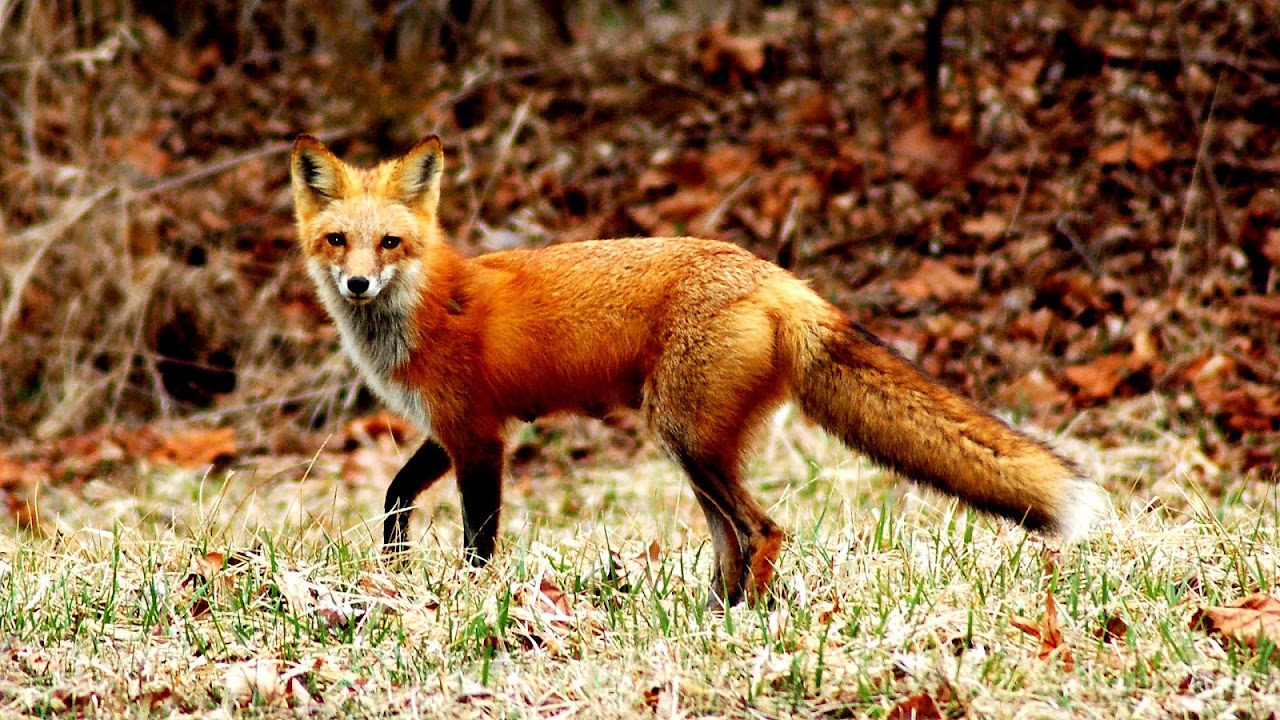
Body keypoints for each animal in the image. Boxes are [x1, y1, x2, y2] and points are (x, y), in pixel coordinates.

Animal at [290, 134, 1103, 608]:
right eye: (337, 241)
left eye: (390, 243)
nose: (357, 284)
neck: (425, 307)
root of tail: (778, 277)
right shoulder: (450, 431)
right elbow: (395, 496)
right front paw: (394, 567)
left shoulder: (482, 438)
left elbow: (476, 544)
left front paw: (466, 602)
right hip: (697, 446)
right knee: (730, 542)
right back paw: (714, 618)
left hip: (686, 437)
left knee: (763, 531)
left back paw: (741, 621)